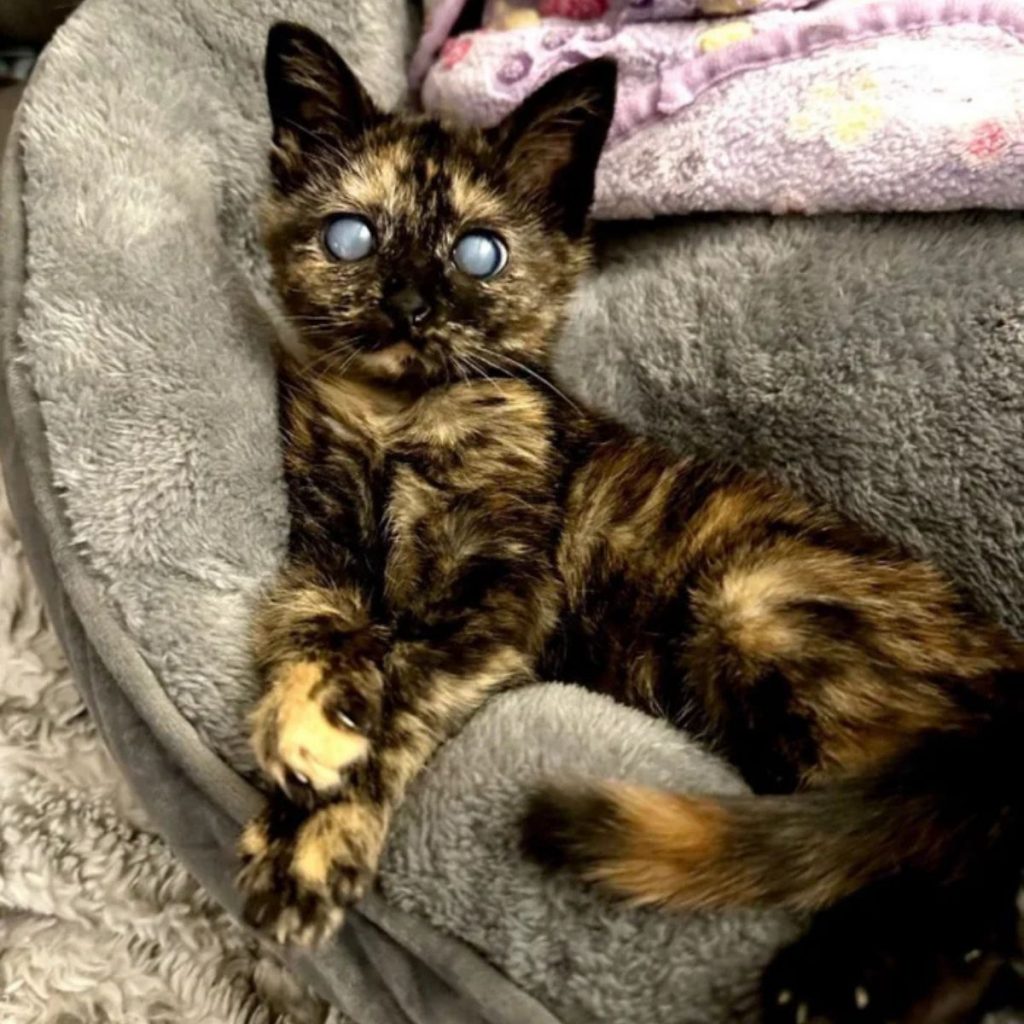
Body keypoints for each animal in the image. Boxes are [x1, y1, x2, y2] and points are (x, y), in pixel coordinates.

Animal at [239, 24, 1024, 1024]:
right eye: (352, 237)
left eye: (480, 254)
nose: (411, 306)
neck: (401, 417)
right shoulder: (323, 555)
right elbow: (307, 642)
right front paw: (294, 756)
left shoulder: (502, 599)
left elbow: (402, 681)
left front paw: (315, 841)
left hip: (758, 603)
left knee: (938, 853)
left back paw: (826, 978)